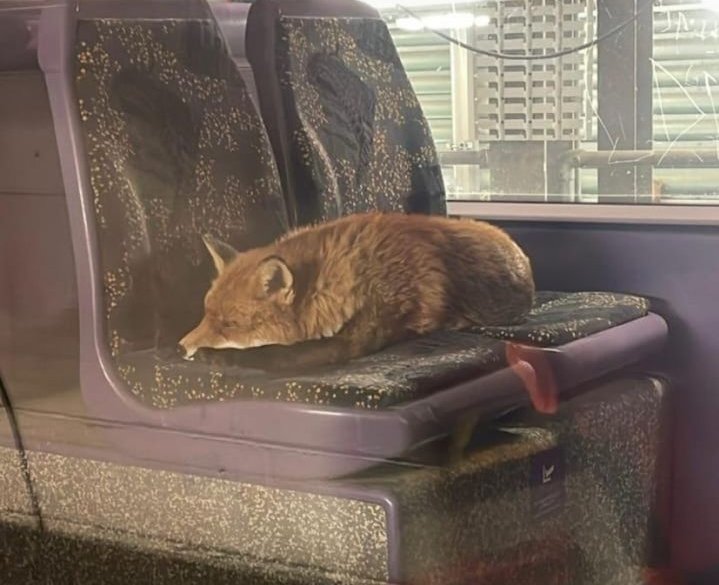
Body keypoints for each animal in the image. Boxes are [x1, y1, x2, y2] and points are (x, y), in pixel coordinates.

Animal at [179, 212, 535, 370]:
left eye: (229, 325)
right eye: (205, 314)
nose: (181, 346)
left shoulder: (353, 340)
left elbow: (273, 353)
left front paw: (218, 356)